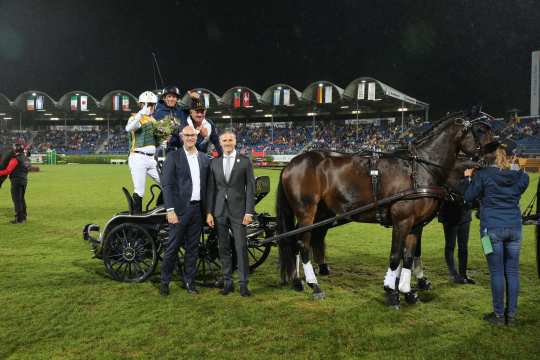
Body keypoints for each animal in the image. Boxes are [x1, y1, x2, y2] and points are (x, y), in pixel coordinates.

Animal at [276, 111, 492, 302]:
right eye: (480, 130)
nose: (490, 163)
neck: (419, 168)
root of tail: (291, 163)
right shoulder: (402, 221)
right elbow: (396, 256)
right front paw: (392, 291)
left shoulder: (415, 224)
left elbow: (409, 256)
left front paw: (408, 291)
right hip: (307, 212)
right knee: (303, 244)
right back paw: (313, 284)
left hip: (321, 213)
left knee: (300, 239)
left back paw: (299, 279)